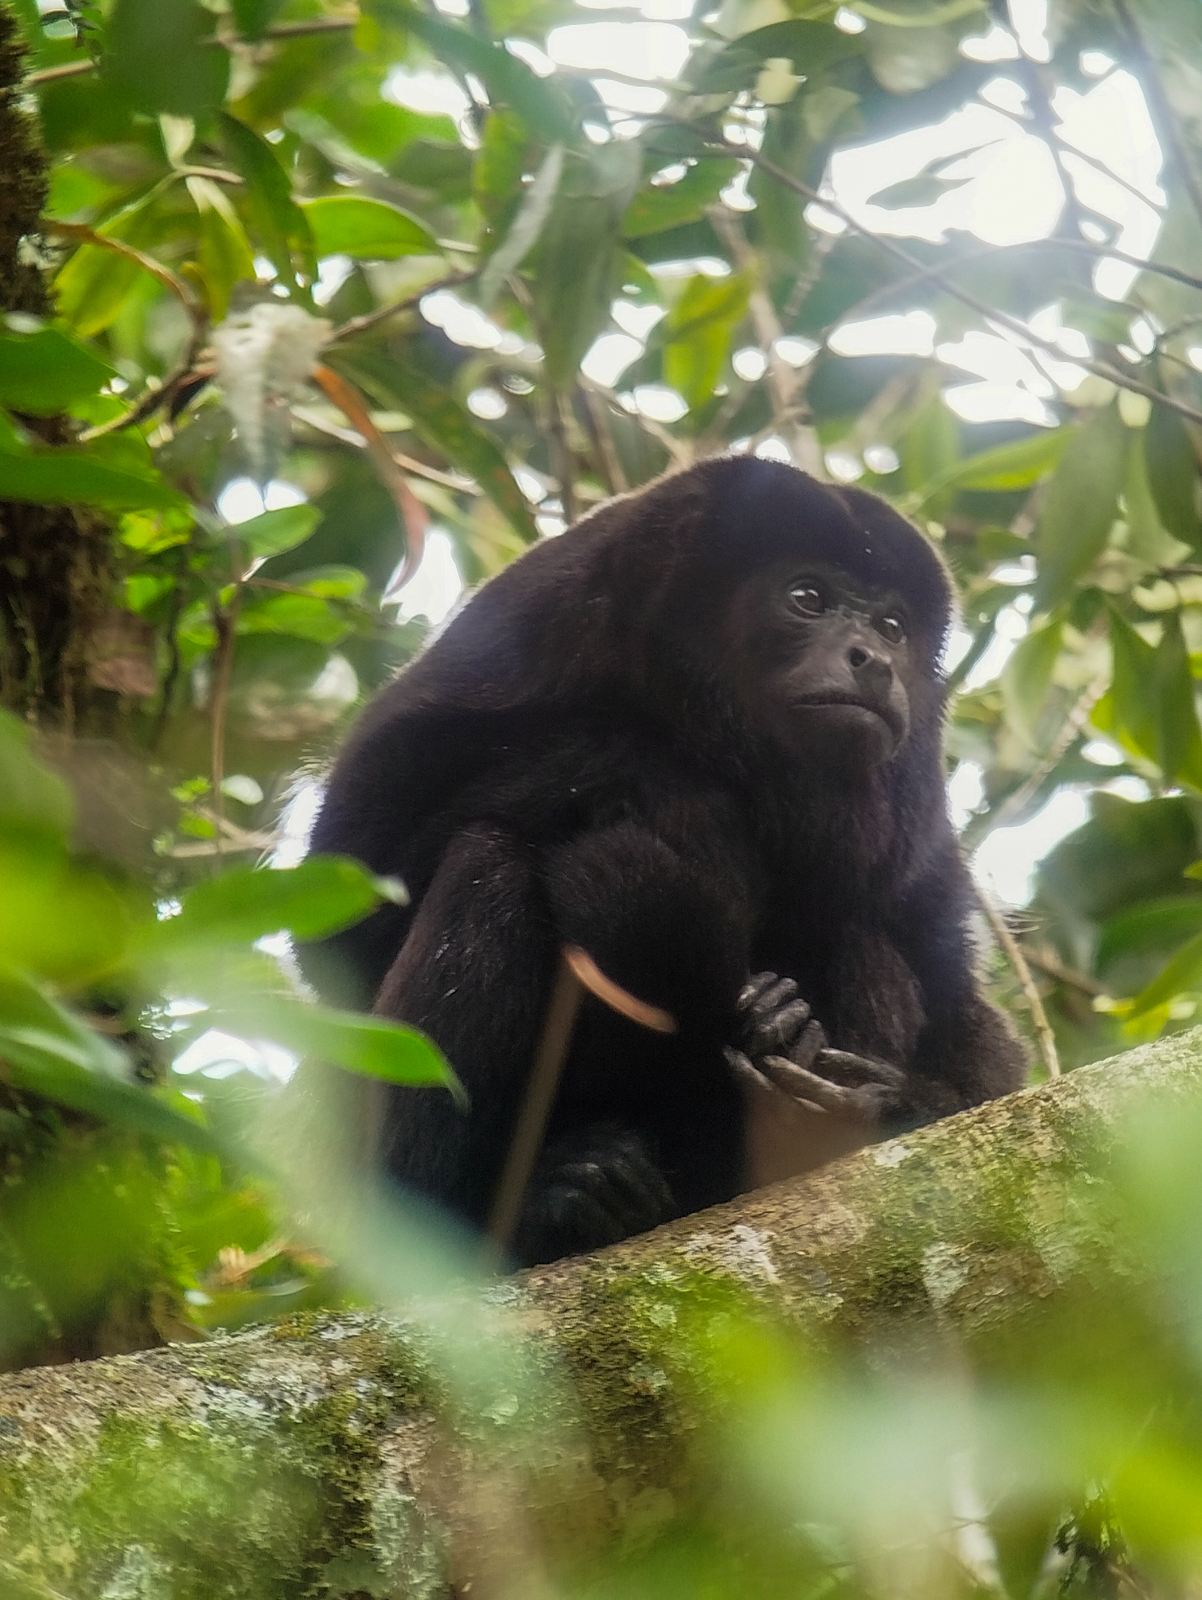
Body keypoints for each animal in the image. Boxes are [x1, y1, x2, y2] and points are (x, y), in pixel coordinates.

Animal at [300, 457, 1026, 1266]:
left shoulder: (916, 781)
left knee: (865, 941)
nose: (873, 662)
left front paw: (874, 1086)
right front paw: (674, 793)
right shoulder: (544, 613)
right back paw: (528, 1207)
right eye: (808, 597)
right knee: (488, 867)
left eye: (894, 626)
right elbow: (352, 887)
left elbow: (970, 1027)